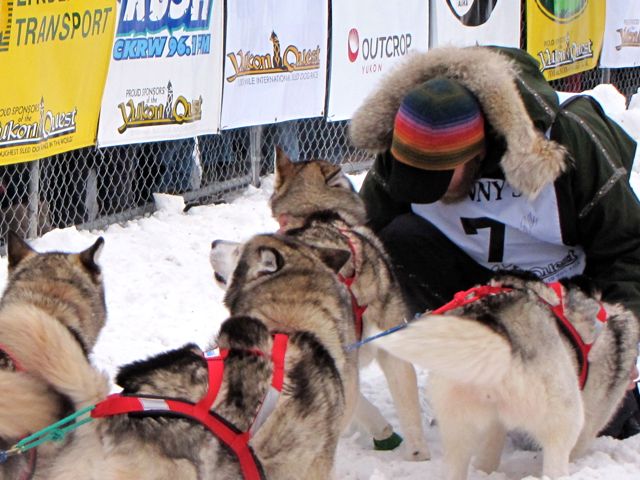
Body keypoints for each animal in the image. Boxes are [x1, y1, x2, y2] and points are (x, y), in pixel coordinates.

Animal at [373, 271, 640, 480]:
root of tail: (497, 327)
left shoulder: (494, 422)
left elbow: (488, 454)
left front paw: (485, 470)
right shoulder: (590, 418)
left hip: (458, 425)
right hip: (566, 416)